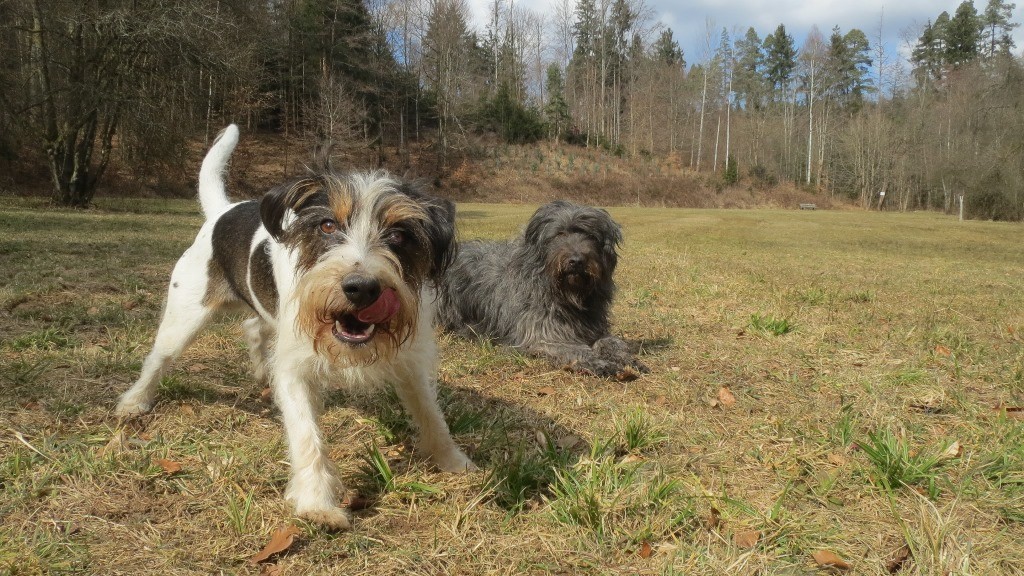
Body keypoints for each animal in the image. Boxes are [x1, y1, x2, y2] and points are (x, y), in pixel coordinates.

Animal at [114, 126, 473, 528]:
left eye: (398, 235)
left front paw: (453, 460)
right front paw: (317, 502)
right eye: (328, 225)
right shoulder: (295, 367)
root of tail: (222, 211)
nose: (362, 288)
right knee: (158, 358)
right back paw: (134, 401)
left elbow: (431, 414)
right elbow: (306, 433)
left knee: (253, 326)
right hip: (185, 315)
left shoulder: (411, 361)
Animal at [434, 200, 647, 377]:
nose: (576, 261)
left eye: (590, 236)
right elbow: (574, 349)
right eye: (560, 233)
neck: (566, 295)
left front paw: (628, 358)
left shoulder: (593, 327)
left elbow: (611, 341)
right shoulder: (541, 336)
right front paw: (600, 363)